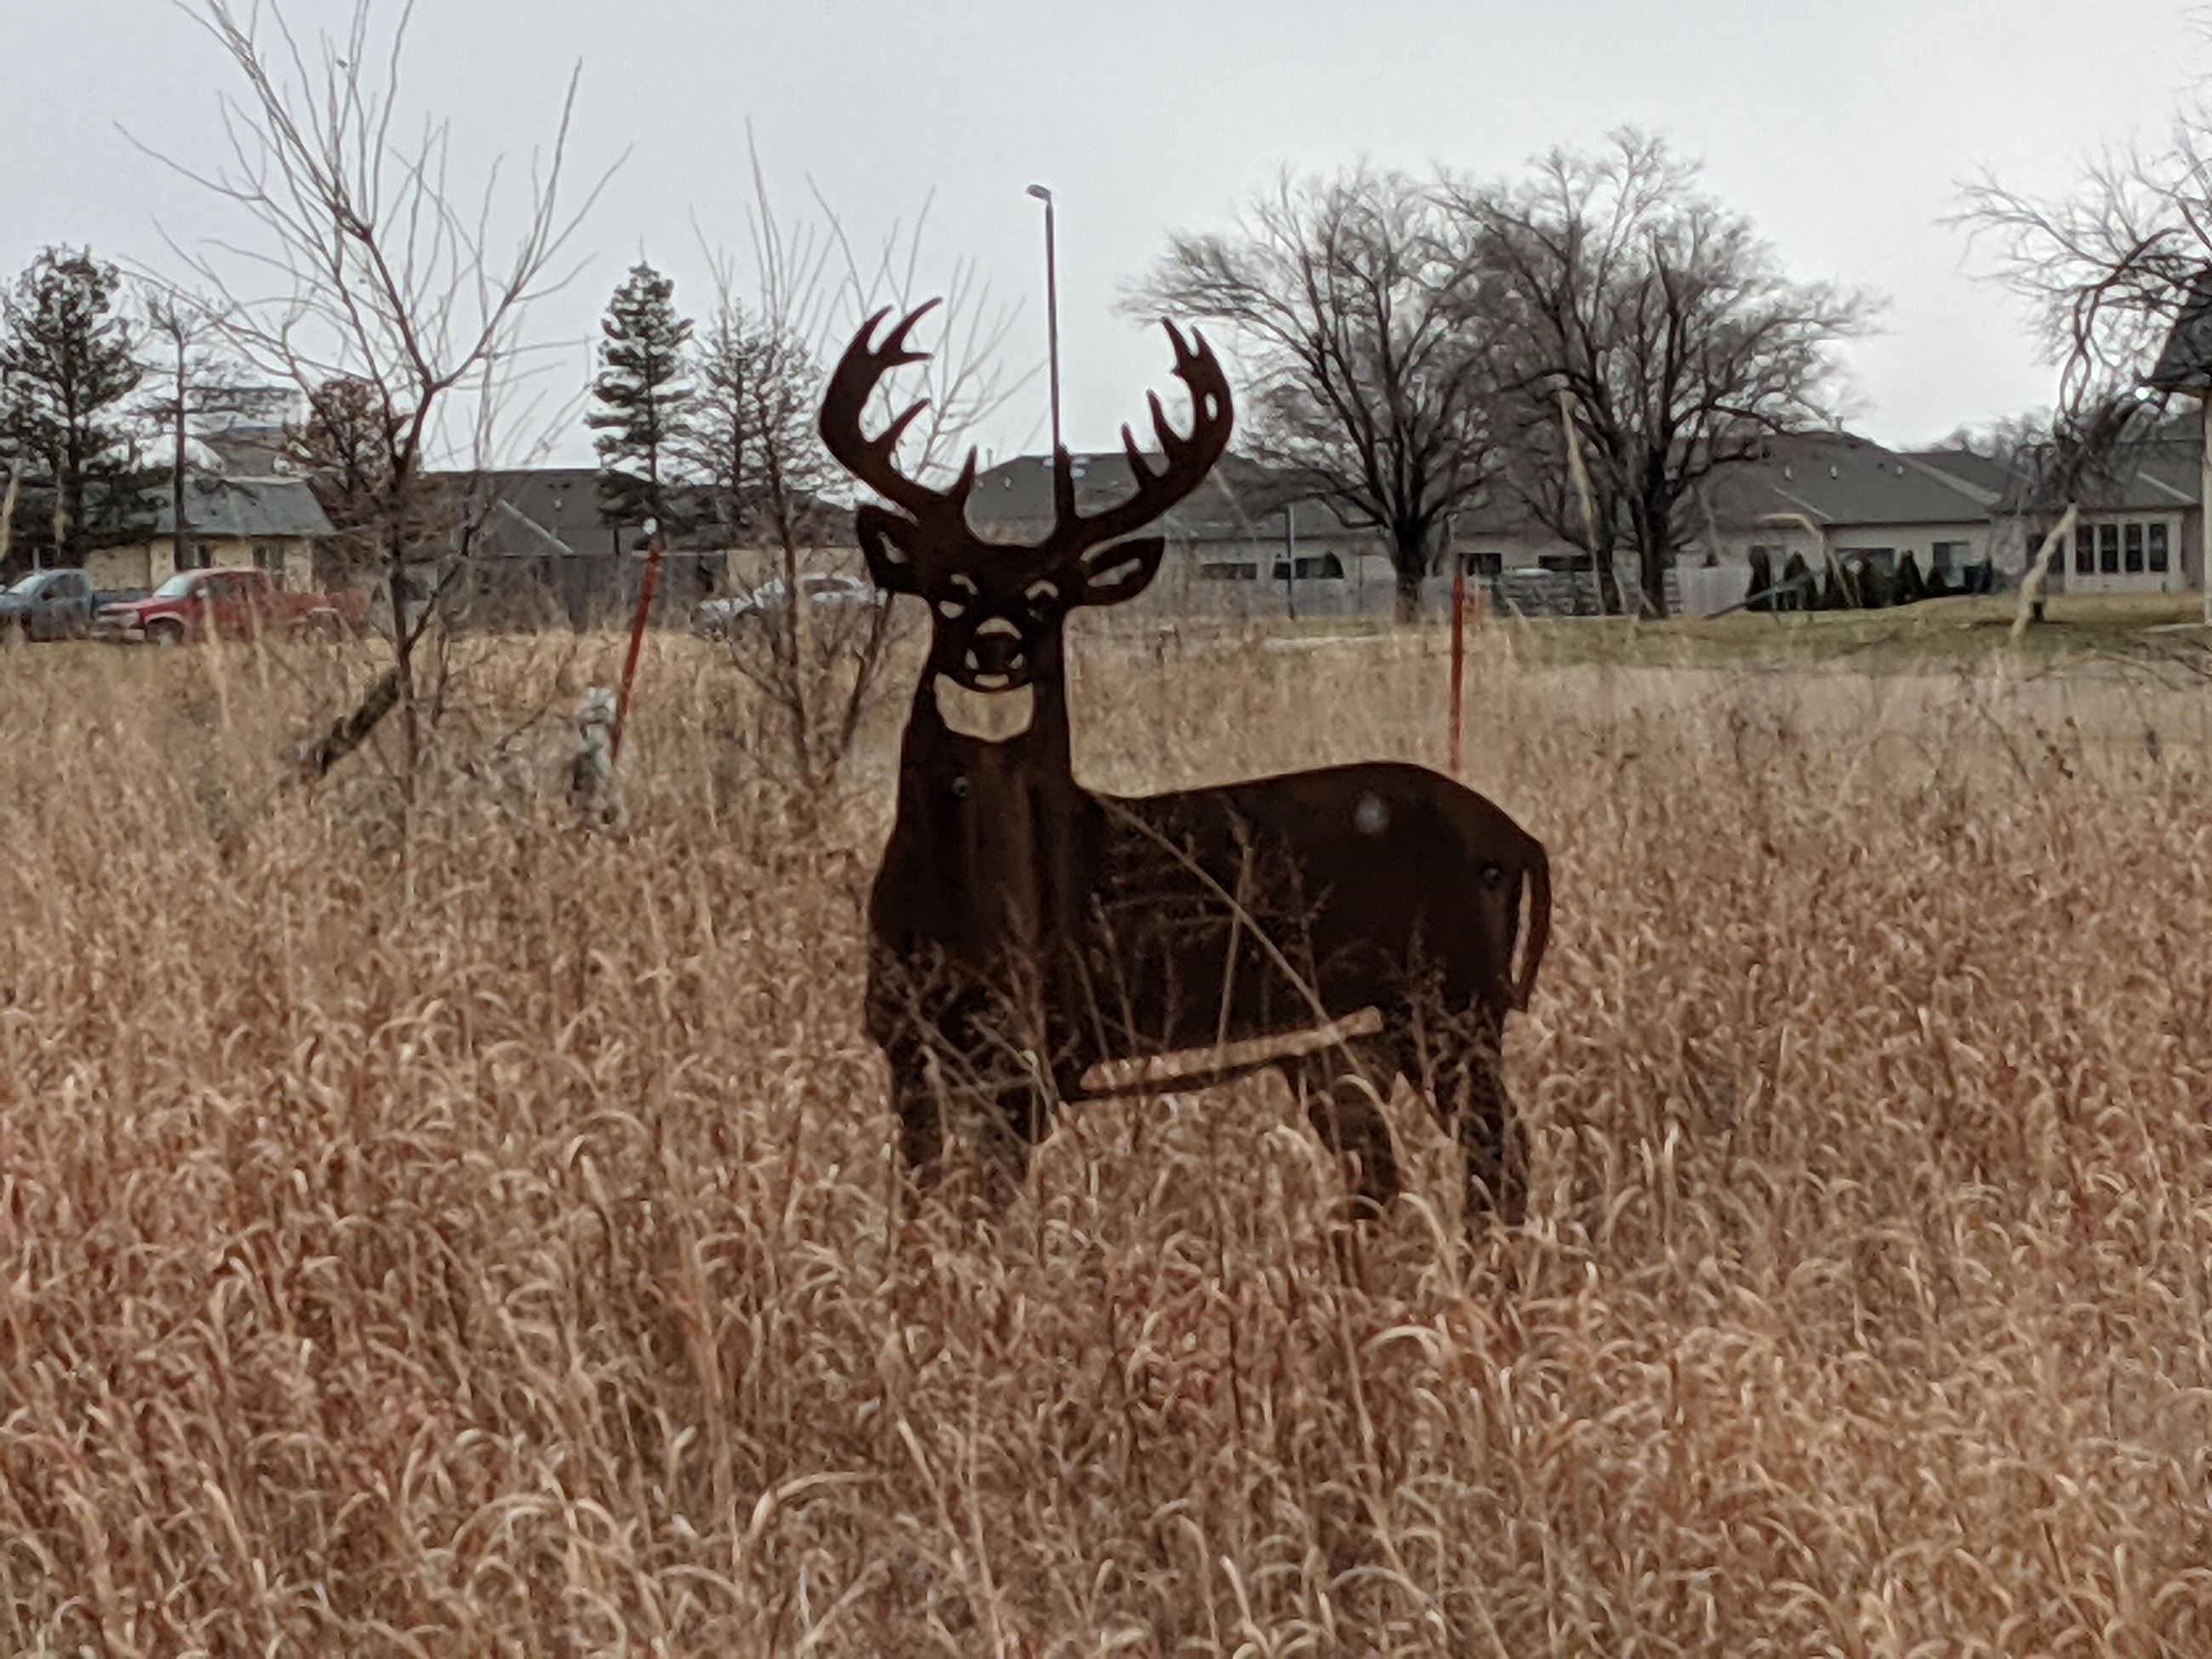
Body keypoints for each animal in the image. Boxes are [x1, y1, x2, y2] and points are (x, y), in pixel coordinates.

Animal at [820, 303, 1552, 1224]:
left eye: (1047, 599)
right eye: (947, 590)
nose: (996, 647)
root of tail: (1520, 840)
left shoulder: (1036, 1050)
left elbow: (988, 1210)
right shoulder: (902, 1048)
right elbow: (919, 1205)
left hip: (1450, 996)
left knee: (1499, 1151)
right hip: (1367, 1036)